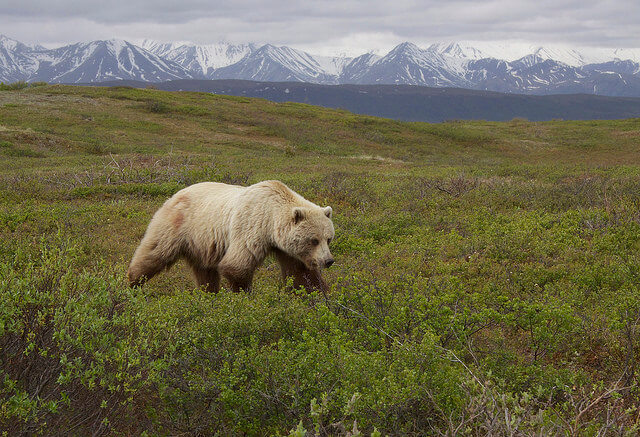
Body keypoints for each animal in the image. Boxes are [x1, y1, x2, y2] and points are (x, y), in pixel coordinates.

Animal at [127, 180, 335, 293]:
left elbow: (302, 274)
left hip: (202, 243)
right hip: (177, 225)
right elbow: (236, 265)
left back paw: (208, 294)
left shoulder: (287, 249)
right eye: (314, 240)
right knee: (154, 253)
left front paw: (319, 297)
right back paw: (132, 284)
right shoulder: (252, 226)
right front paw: (244, 296)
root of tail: (175, 194)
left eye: (329, 238)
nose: (328, 261)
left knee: (205, 272)